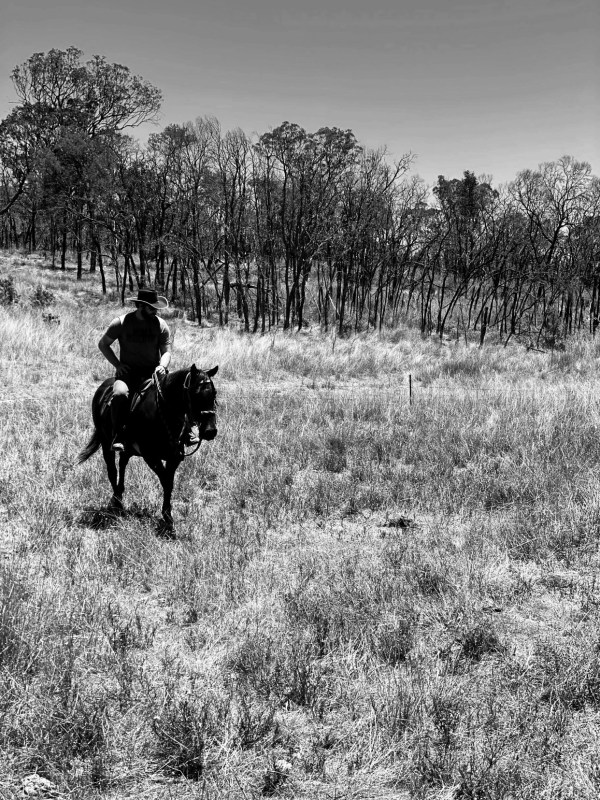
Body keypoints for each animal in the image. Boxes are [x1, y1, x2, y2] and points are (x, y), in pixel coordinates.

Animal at [77, 365, 218, 533]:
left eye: (214, 393)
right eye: (195, 393)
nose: (210, 431)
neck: (164, 414)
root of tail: (104, 386)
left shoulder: (174, 457)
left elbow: (169, 483)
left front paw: (168, 517)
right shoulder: (151, 457)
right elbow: (166, 481)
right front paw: (167, 518)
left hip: (127, 450)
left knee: (122, 465)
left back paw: (119, 495)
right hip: (106, 444)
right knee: (112, 471)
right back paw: (116, 502)